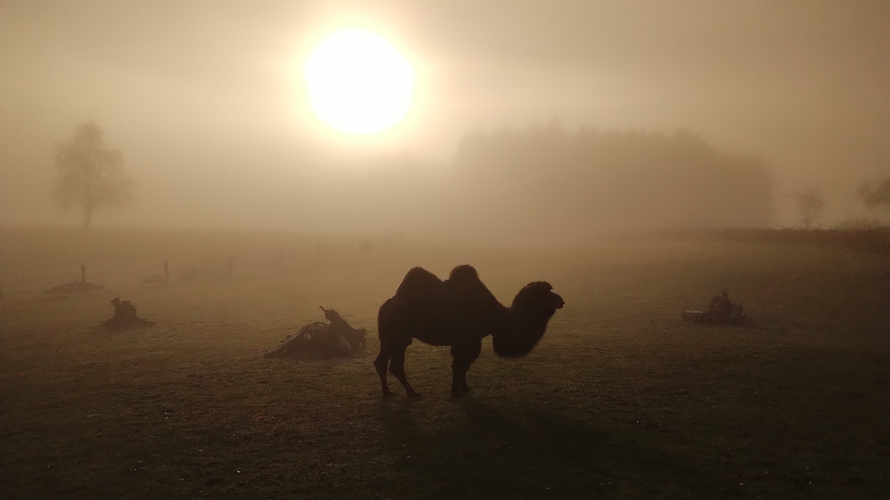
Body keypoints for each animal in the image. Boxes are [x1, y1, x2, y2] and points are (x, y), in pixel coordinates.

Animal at [374, 265, 564, 398]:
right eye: (546, 293)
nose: (561, 300)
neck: (497, 316)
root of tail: (385, 306)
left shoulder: (471, 340)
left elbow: (464, 366)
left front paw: (464, 388)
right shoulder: (467, 340)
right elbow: (459, 365)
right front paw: (455, 392)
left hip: (390, 337)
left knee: (381, 362)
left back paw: (388, 392)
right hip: (398, 336)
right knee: (395, 366)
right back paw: (412, 393)